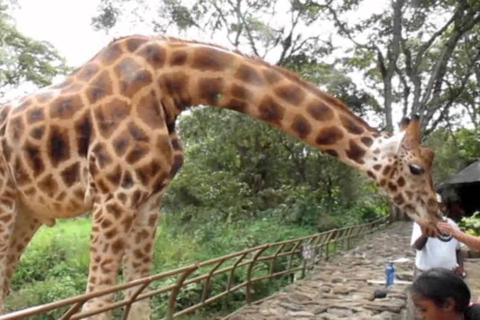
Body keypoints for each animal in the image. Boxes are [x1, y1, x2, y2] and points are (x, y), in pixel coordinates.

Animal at [0, 33, 440, 318]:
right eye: (416, 167)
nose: (437, 219)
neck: (169, 84)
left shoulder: (148, 197)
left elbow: (138, 295)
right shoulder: (113, 195)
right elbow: (99, 301)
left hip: (27, 209)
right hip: (5, 200)